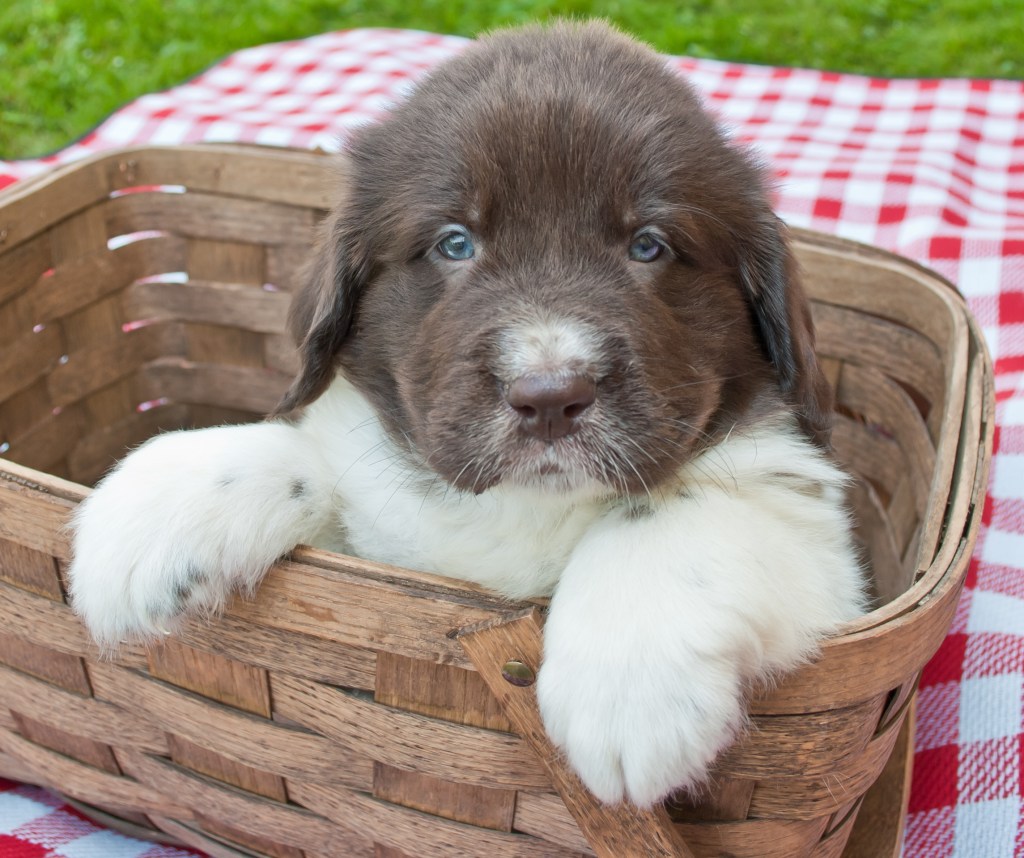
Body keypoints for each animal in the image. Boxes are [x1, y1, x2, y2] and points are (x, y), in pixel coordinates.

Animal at [68, 23, 868, 810]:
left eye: (650, 246)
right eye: (455, 242)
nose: (550, 397)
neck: (523, 510)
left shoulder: (816, 544)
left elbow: (670, 511)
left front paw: (627, 689)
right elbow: (308, 459)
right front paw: (154, 518)